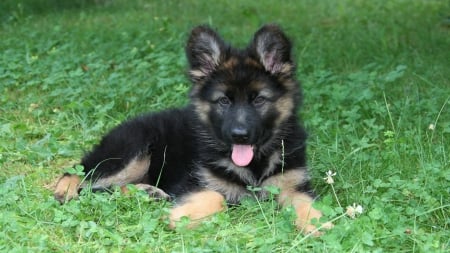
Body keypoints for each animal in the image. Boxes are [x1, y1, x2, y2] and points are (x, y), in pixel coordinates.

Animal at [54, 24, 332, 234]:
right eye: (224, 101)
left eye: (259, 100)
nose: (239, 135)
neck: (255, 164)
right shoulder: (195, 183)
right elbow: (217, 198)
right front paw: (178, 217)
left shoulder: (293, 186)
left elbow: (306, 204)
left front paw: (320, 224)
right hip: (133, 151)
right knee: (83, 176)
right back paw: (66, 189)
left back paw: (147, 192)